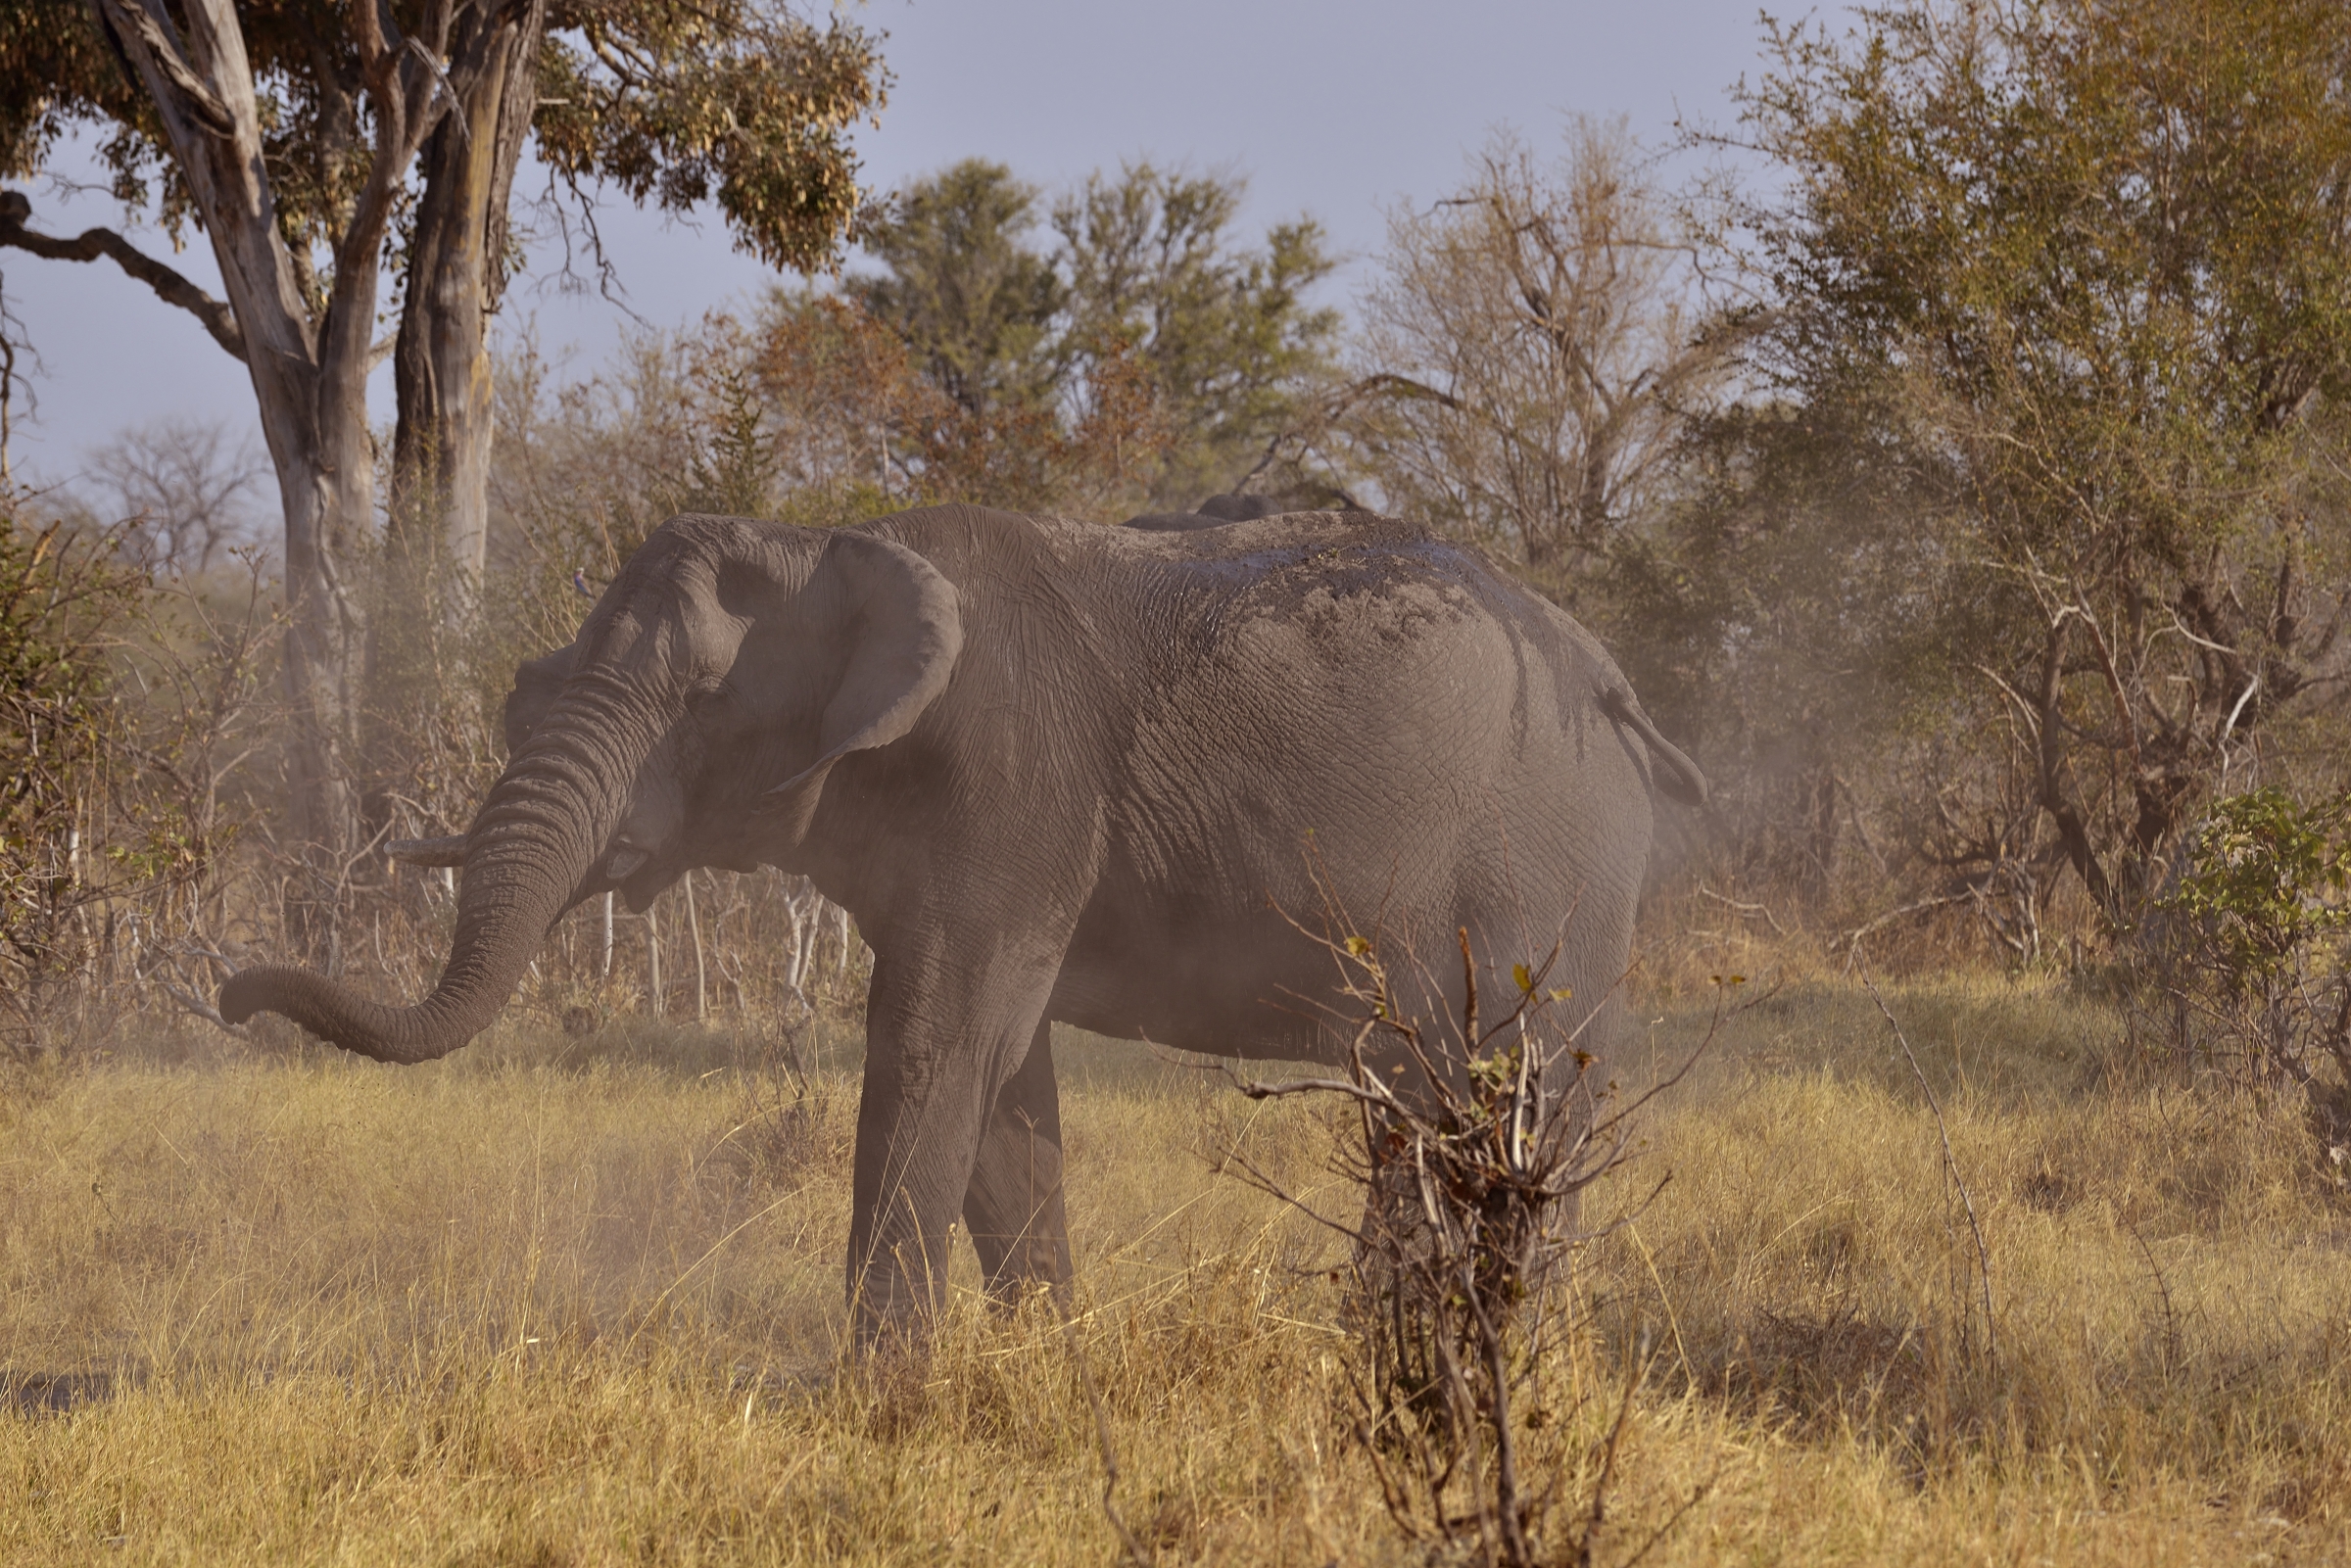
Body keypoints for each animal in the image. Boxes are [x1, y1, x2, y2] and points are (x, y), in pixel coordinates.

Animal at [220, 503, 1705, 1333]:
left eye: (698, 703)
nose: (233, 997)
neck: (824, 538)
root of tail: (1621, 686)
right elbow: (996, 1080)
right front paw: (1041, 1363)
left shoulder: (1012, 780)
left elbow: (937, 1045)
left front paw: (872, 1400)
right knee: (1427, 1103)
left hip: (1555, 865)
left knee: (1512, 1092)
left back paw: (1501, 1347)